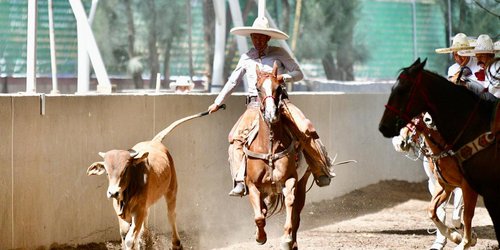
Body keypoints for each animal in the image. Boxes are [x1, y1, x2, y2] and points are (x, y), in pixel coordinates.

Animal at [244, 61, 310, 249]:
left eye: (279, 88)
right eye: (258, 88)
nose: (271, 114)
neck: (269, 148)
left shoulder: (291, 179)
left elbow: (290, 202)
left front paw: (286, 238)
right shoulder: (252, 184)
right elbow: (259, 216)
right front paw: (260, 237)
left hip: (303, 182)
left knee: (296, 213)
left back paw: (292, 242)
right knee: (264, 209)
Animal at [394, 114, 476, 249]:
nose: (401, 143)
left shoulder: (467, 187)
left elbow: (466, 215)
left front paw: (466, 242)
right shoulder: (444, 186)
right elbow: (432, 210)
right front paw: (456, 236)